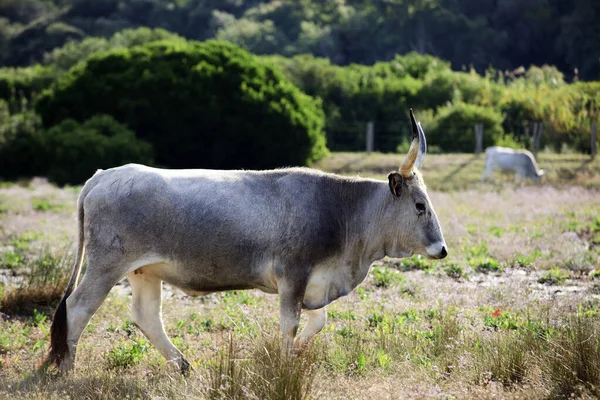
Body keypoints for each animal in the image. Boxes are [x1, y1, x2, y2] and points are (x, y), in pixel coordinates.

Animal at [49, 108, 448, 372]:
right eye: (420, 205)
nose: (442, 249)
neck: (340, 208)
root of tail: (104, 175)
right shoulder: (293, 276)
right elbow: (290, 325)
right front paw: (285, 365)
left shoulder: (313, 284)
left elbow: (317, 321)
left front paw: (298, 353)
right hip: (105, 266)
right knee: (78, 308)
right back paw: (69, 371)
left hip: (145, 271)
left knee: (147, 317)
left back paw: (183, 366)